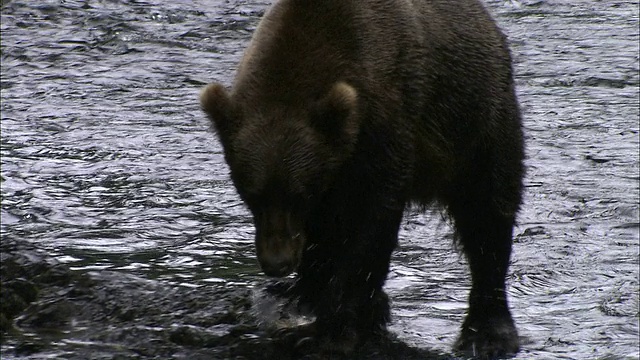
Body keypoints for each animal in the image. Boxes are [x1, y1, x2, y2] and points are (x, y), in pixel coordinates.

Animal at [200, 0, 524, 356]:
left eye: (299, 195)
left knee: (488, 214)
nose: (277, 262)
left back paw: (488, 332)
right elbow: (325, 231)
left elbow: (368, 224)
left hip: (478, 123)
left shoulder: (385, 125)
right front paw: (303, 295)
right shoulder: (332, 170)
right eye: (252, 195)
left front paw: (330, 330)